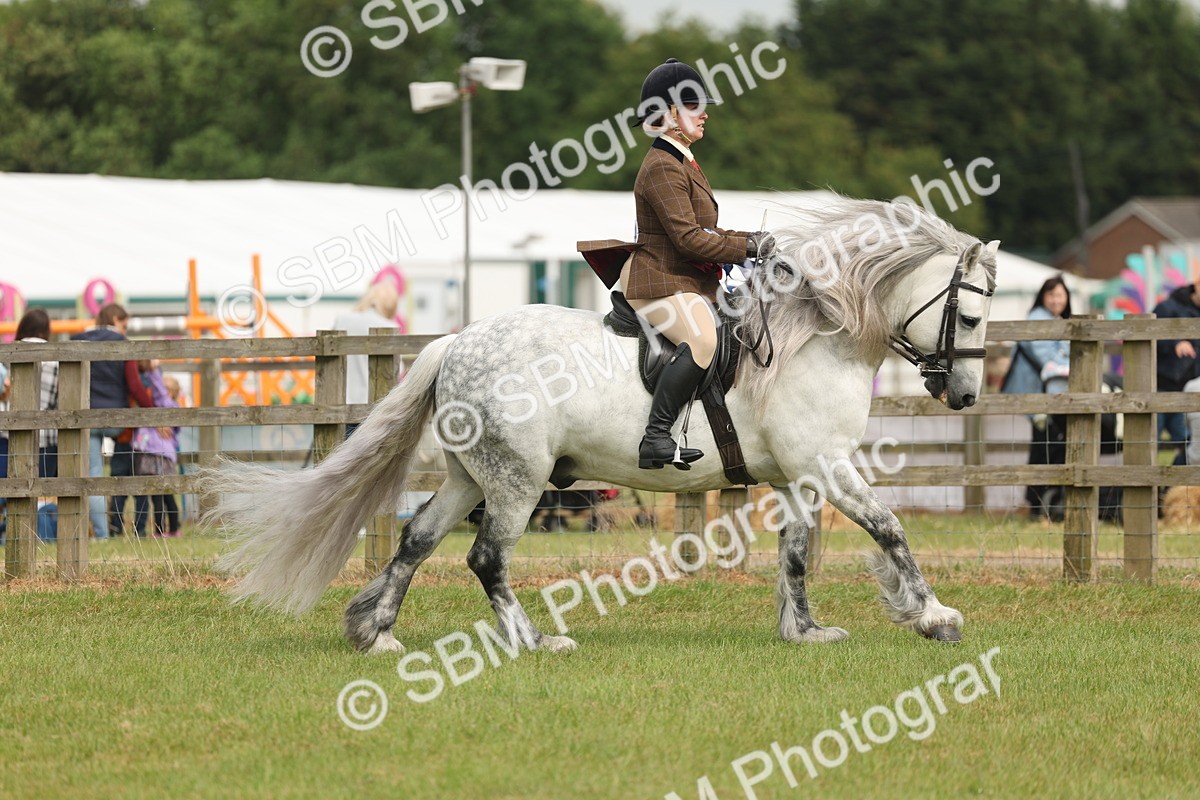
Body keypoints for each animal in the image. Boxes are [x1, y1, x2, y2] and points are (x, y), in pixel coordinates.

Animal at [202, 198, 997, 653]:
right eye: (972, 316)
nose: (960, 394)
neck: (817, 338)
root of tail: (454, 342)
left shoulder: (798, 476)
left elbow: (797, 554)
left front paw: (803, 631)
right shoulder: (827, 465)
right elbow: (890, 528)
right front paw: (935, 616)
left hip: (472, 476)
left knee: (417, 540)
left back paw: (376, 633)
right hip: (517, 480)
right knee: (486, 559)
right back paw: (532, 641)